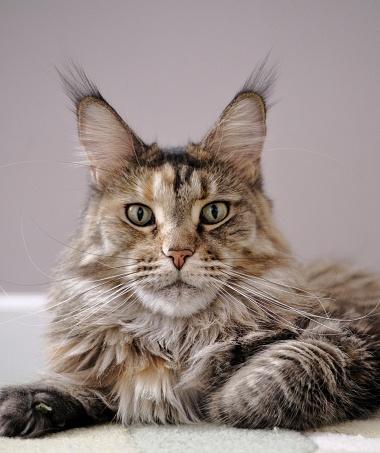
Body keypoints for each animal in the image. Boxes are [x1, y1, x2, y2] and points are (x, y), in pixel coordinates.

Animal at [0, 61, 380, 438]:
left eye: (214, 212)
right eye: (139, 214)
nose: (178, 254)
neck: (178, 339)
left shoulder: (354, 334)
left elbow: (289, 366)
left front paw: (218, 395)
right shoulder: (95, 371)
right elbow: (70, 386)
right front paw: (21, 404)